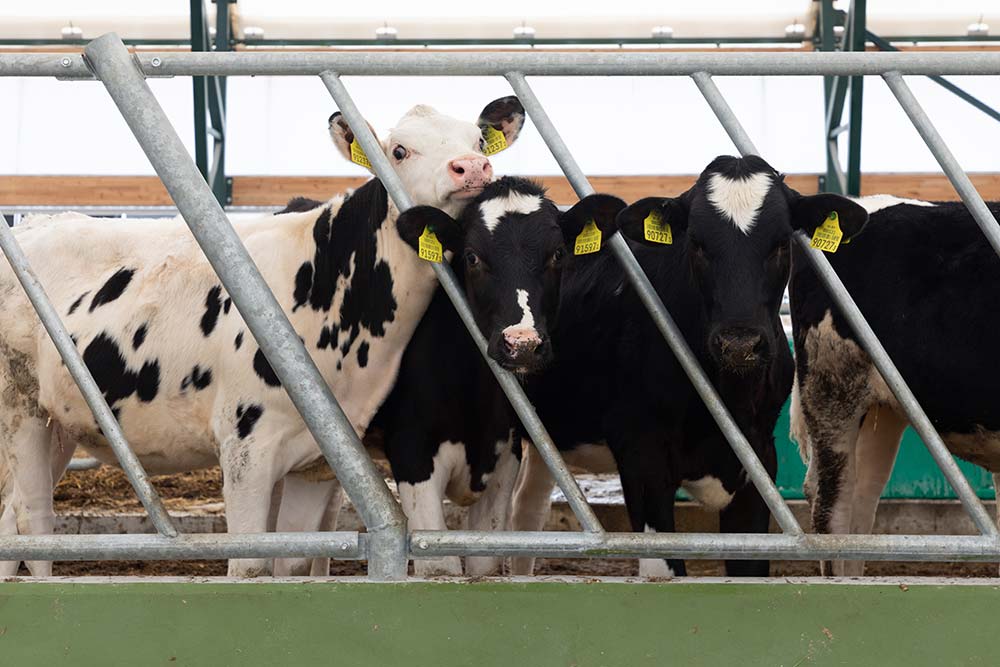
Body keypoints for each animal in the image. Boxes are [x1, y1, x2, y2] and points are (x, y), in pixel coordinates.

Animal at [0, 96, 528, 576]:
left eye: (477, 141)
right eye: (399, 150)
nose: (472, 167)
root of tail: (38, 222)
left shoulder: (321, 460)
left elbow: (292, 562)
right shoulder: (247, 448)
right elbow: (250, 565)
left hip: (59, 421)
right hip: (19, 407)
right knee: (34, 518)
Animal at [270, 179, 620, 580]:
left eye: (558, 254)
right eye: (471, 257)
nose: (522, 343)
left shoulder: (504, 458)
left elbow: (485, 564)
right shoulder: (414, 455)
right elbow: (442, 568)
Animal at [508, 157, 868, 580]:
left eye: (782, 242)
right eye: (696, 243)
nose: (739, 343)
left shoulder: (760, 458)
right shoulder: (642, 453)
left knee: (527, 510)